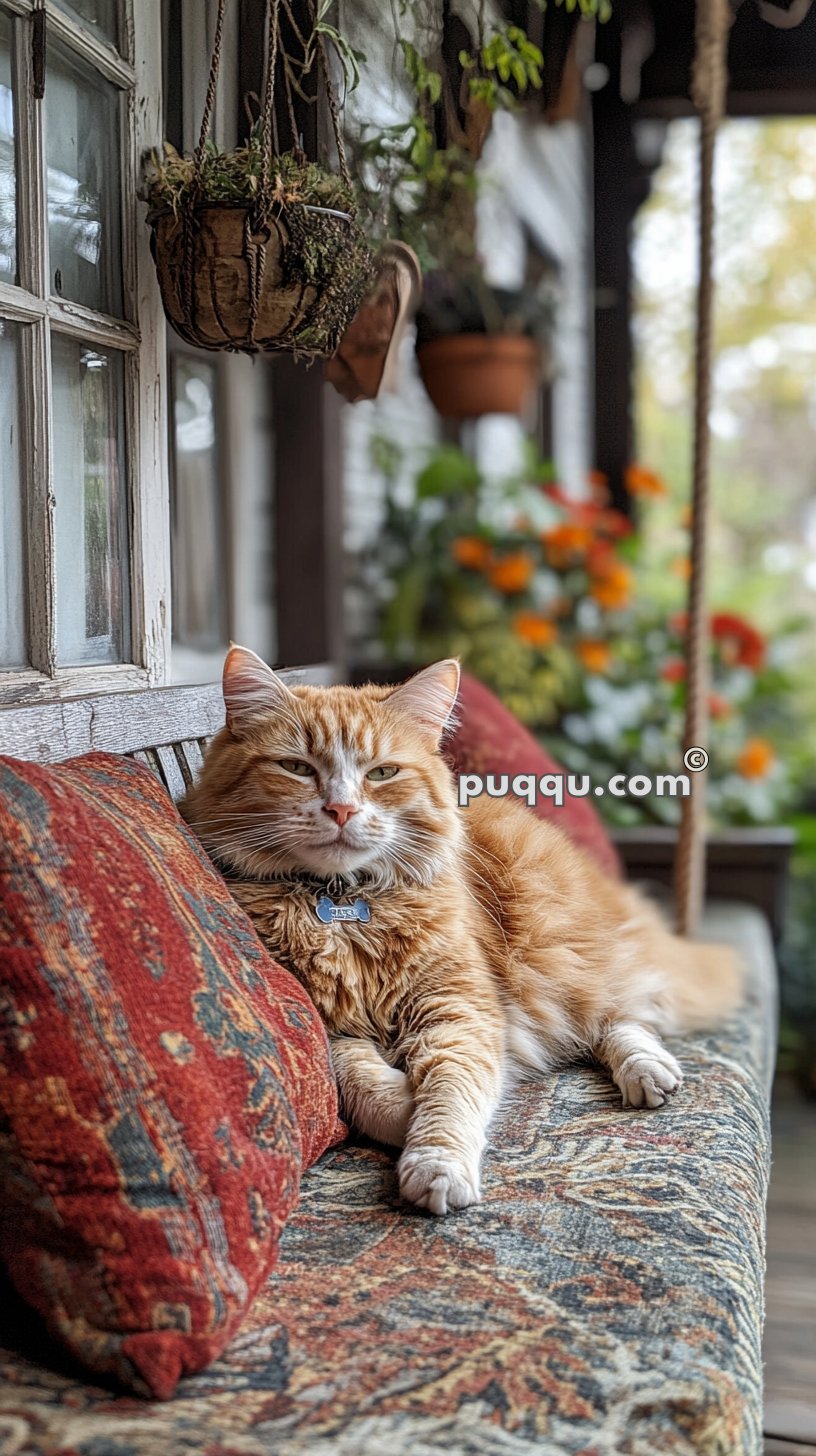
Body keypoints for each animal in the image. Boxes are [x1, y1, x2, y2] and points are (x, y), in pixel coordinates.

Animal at [181, 649, 743, 1217]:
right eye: (296, 768)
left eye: (383, 773)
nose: (342, 810)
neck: (343, 903)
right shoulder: (330, 1027)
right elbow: (361, 1082)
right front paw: (403, 1110)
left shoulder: (459, 1010)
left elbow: (451, 1095)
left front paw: (437, 1163)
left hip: (561, 956)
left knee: (618, 1013)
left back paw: (648, 1069)